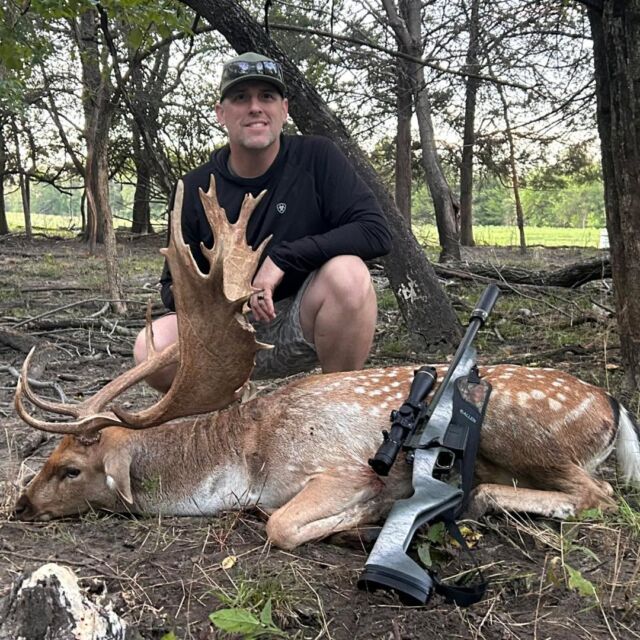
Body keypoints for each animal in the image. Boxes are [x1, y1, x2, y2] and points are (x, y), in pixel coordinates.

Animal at [12, 177, 640, 552]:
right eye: (47, 457)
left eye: (70, 469)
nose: (20, 506)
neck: (247, 461)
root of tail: (613, 406)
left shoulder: (340, 468)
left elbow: (280, 525)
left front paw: (369, 518)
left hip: (521, 430)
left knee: (600, 494)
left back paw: (479, 501)